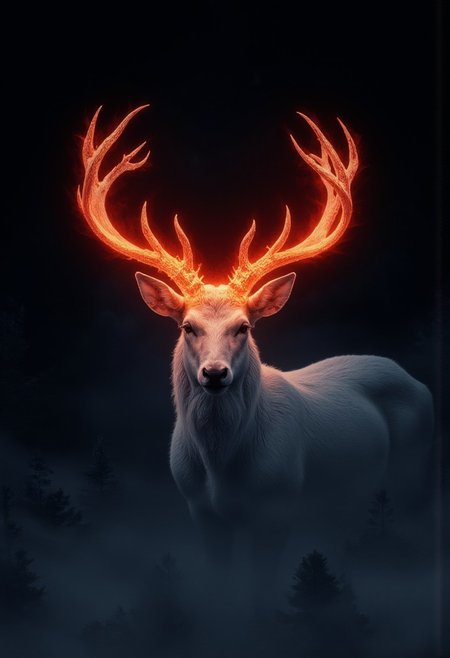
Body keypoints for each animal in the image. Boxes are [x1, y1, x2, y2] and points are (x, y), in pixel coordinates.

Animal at [77, 106, 433, 578]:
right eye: (187, 326)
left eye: (244, 326)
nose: (214, 373)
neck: (223, 470)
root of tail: (416, 381)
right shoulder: (200, 511)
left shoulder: (279, 508)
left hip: (413, 471)